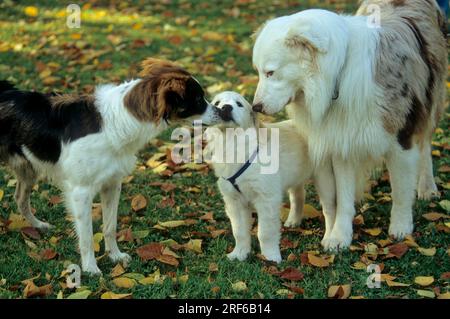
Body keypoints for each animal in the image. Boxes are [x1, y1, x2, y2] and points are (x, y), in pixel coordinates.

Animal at [0, 58, 210, 276]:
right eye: (198, 99)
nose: (220, 111)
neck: (116, 123)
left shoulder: (112, 183)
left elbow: (110, 226)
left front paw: (115, 256)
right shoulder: (81, 192)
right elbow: (86, 235)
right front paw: (90, 268)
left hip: (28, 168)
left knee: (20, 198)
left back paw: (38, 225)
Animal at [200, 92, 334, 262]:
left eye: (239, 104)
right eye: (217, 103)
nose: (226, 108)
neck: (233, 142)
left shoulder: (267, 199)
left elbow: (265, 233)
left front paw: (270, 256)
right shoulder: (234, 201)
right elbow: (239, 231)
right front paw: (240, 253)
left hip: (324, 177)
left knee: (330, 208)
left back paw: (330, 238)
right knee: (298, 196)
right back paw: (293, 221)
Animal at [251, 0, 448, 251]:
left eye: (270, 72)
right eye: (259, 72)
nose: (255, 107)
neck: (338, 77)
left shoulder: (401, 137)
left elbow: (401, 190)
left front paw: (401, 226)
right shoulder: (342, 140)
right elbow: (343, 198)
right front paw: (339, 236)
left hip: (431, 100)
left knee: (425, 145)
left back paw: (427, 186)